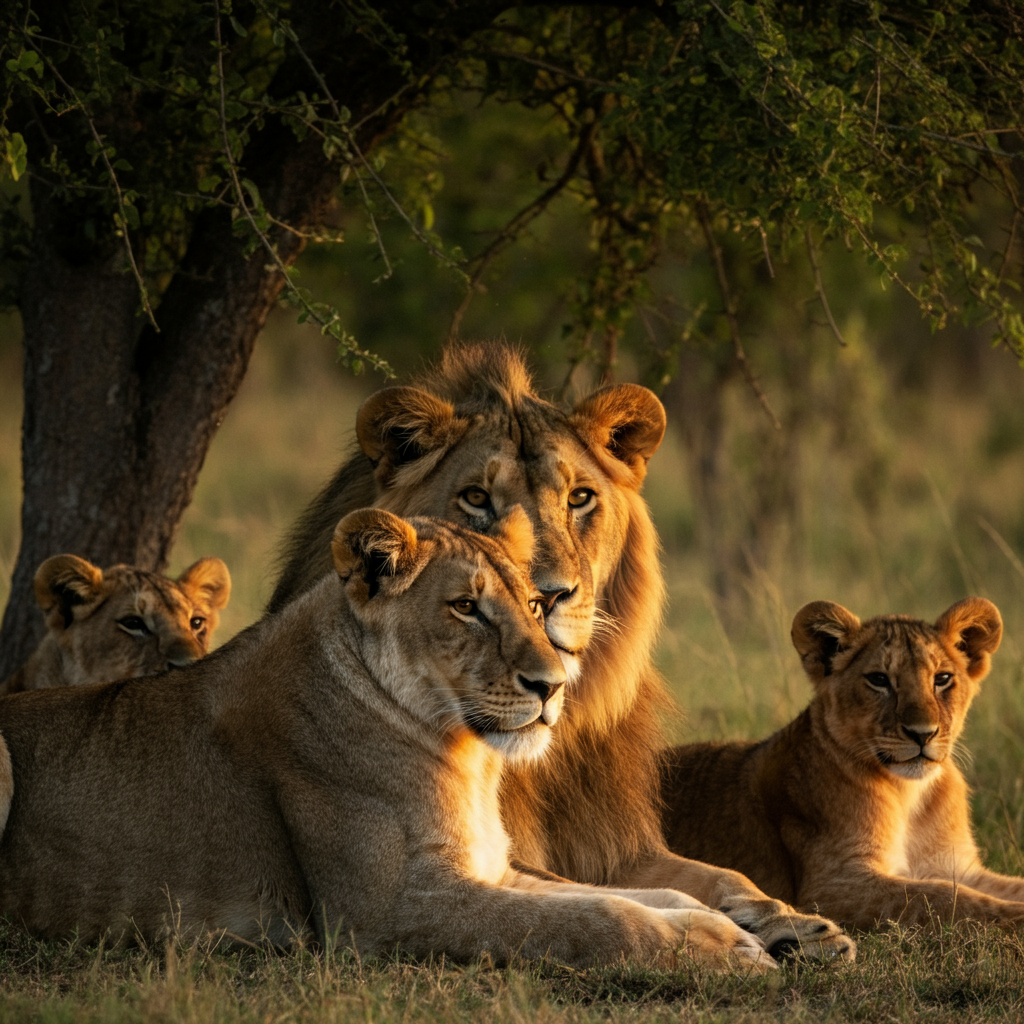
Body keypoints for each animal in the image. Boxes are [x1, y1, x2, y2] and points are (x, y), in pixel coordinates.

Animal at [268, 343, 855, 962]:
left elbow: (718, 875)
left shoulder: (612, 846)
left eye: (579, 498)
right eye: (476, 498)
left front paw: (798, 923)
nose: (544, 595)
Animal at [660, 597, 1024, 930]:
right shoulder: (832, 886)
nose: (923, 734)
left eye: (943, 678)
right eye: (879, 679)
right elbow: (940, 897)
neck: (910, 795)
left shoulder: (958, 867)